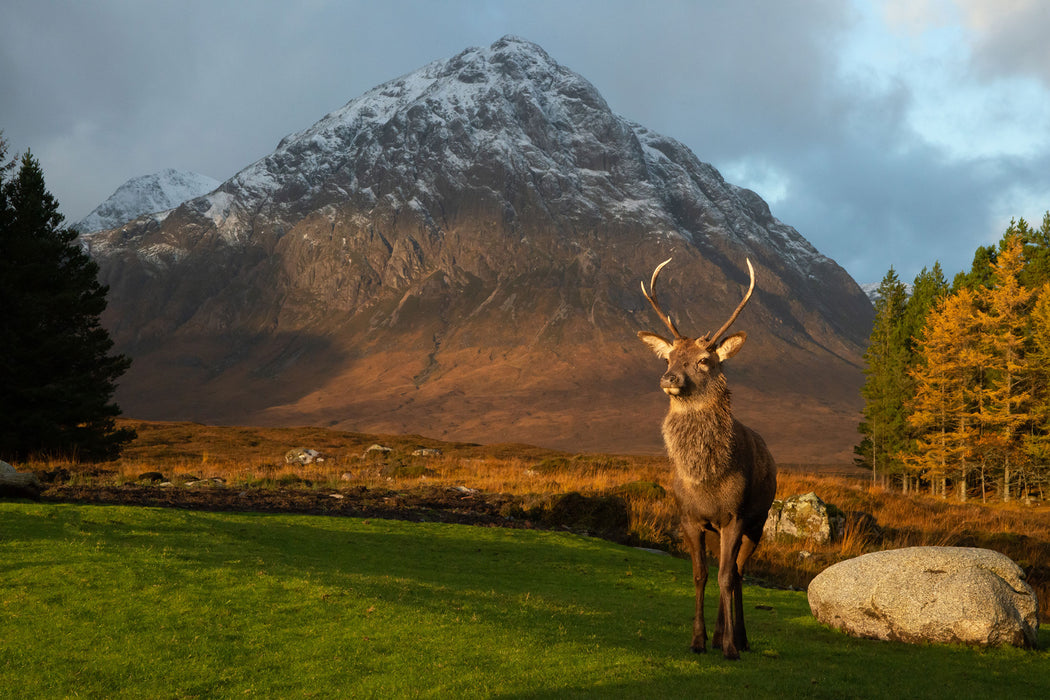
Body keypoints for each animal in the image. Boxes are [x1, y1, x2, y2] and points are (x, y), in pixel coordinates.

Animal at [634, 259, 776, 663]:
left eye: (704, 361)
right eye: (669, 357)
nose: (668, 378)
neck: (707, 479)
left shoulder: (735, 516)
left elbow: (727, 577)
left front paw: (729, 647)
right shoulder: (691, 518)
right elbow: (701, 576)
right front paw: (697, 640)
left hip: (758, 522)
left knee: (738, 573)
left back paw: (738, 638)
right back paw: (718, 636)